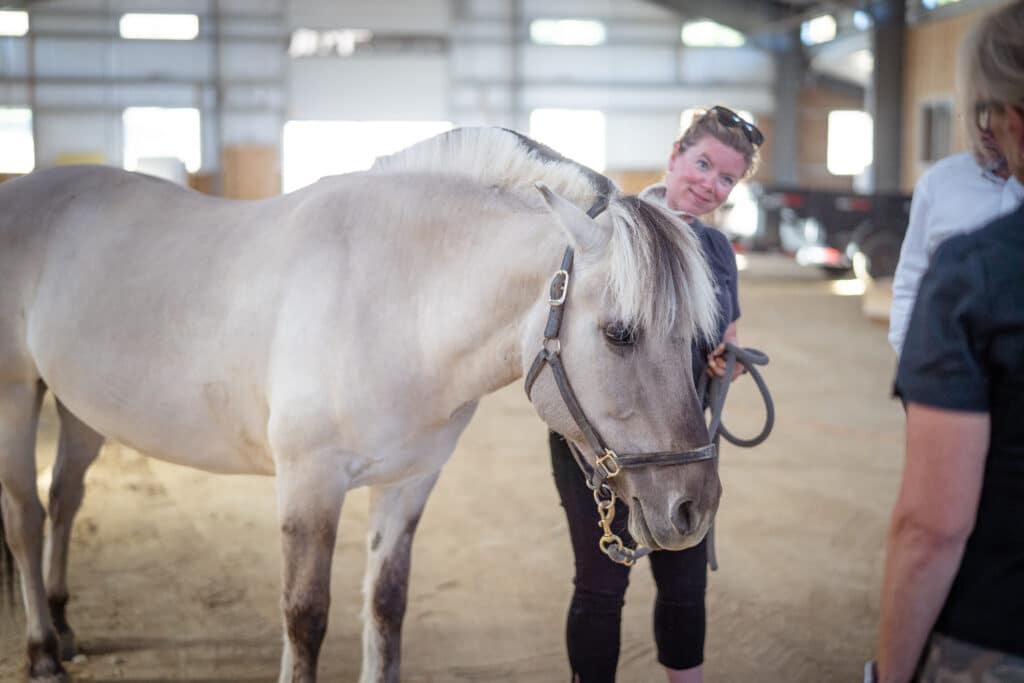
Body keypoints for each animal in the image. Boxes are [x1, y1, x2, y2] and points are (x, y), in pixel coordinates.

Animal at [0, 127, 722, 683]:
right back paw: (41, 650)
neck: (395, 297)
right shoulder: (309, 482)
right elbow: (305, 615)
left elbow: (385, 606)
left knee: (64, 497)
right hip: (16, 397)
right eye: (619, 333)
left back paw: (64, 623)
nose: (695, 508)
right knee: (26, 515)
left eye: (696, 337)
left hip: (82, 410)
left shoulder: (408, 484)